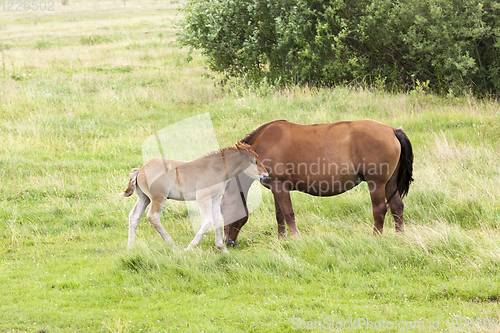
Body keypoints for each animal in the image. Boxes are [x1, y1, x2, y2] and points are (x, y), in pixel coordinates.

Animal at [223, 118, 414, 244]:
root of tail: (392, 130)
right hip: (390, 184)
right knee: (397, 207)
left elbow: (288, 213)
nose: (227, 242)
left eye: (224, 210)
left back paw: (376, 238)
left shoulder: (280, 186)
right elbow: (280, 215)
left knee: (380, 210)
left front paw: (295, 238)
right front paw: (282, 239)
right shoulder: (276, 188)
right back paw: (400, 237)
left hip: (377, 184)